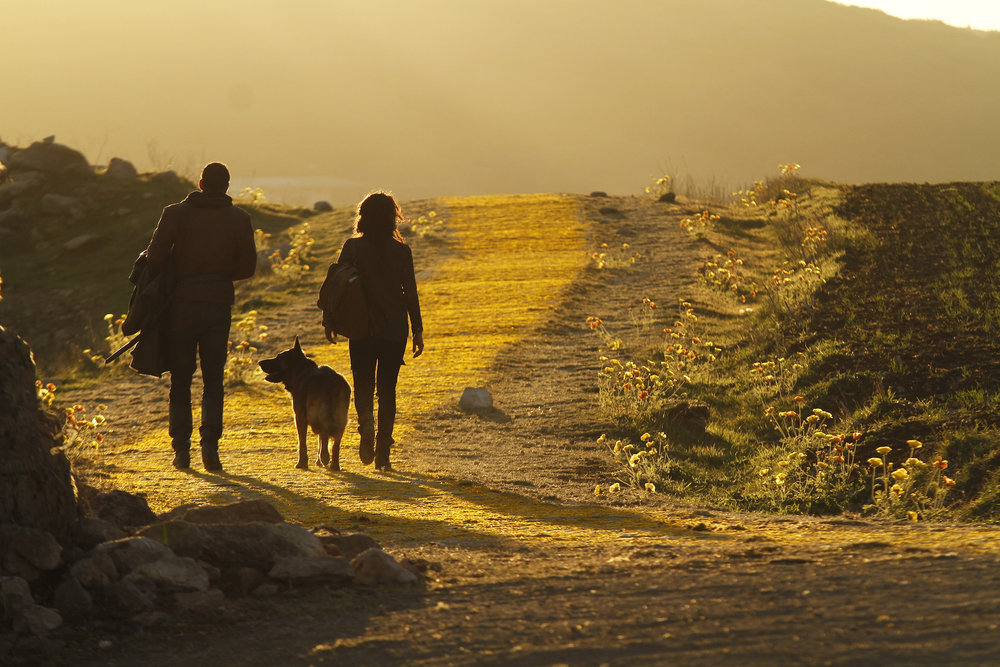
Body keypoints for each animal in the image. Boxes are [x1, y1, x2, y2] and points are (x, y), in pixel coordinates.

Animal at [258, 340, 352, 470]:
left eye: (278, 357)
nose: (259, 362)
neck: (301, 371)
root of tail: (332, 382)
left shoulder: (300, 417)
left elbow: (302, 442)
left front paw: (302, 463)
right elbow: (321, 442)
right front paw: (318, 461)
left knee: (324, 434)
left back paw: (325, 458)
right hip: (342, 419)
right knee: (335, 443)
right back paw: (334, 465)